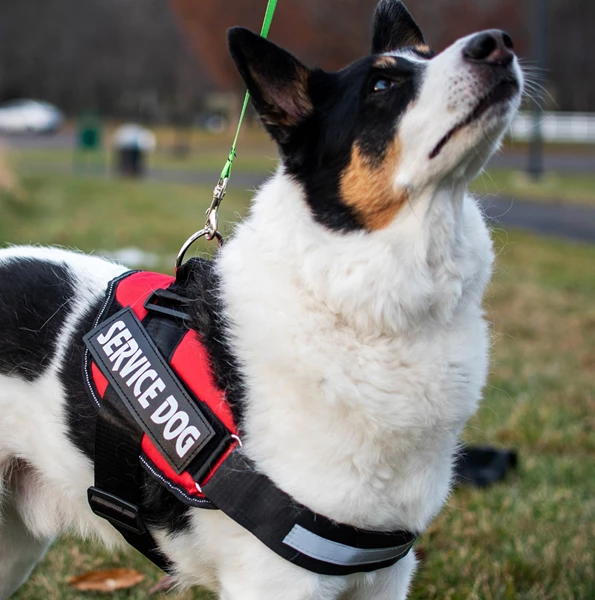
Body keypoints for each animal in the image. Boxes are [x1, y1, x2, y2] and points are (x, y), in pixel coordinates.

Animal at [0, 2, 520, 596]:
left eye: (428, 57)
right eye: (382, 84)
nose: (498, 44)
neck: (356, 307)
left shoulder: (384, 575)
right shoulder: (279, 582)